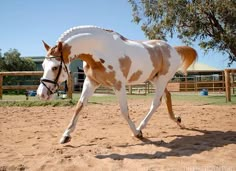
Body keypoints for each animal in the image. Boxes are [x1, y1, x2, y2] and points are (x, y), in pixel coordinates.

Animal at [37, 25, 197, 144]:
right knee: (168, 96)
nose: (41, 94)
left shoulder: (118, 85)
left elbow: (124, 111)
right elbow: (79, 106)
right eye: (43, 65)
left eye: (55, 67)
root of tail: (173, 49)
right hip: (155, 79)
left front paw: (137, 133)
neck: (100, 49)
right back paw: (178, 120)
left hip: (162, 79)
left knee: (156, 102)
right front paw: (66, 136)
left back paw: (141, 127)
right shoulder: (91, 82)